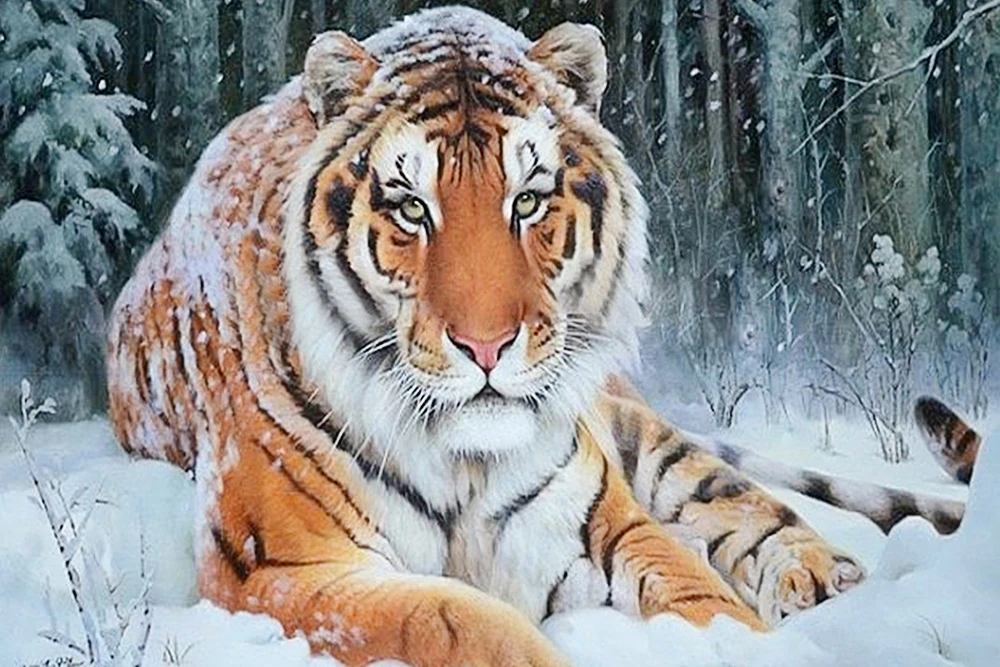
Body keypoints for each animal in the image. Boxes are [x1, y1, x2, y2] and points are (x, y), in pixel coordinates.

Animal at [106, 7, 961, 666]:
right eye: (411, 207)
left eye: (528, 200)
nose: (486, 348)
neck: (461, 462)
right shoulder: (284, 568)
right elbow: (455, 621)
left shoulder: (601, 521)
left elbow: (700, 591)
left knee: (738, 498)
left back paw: (825, 582)